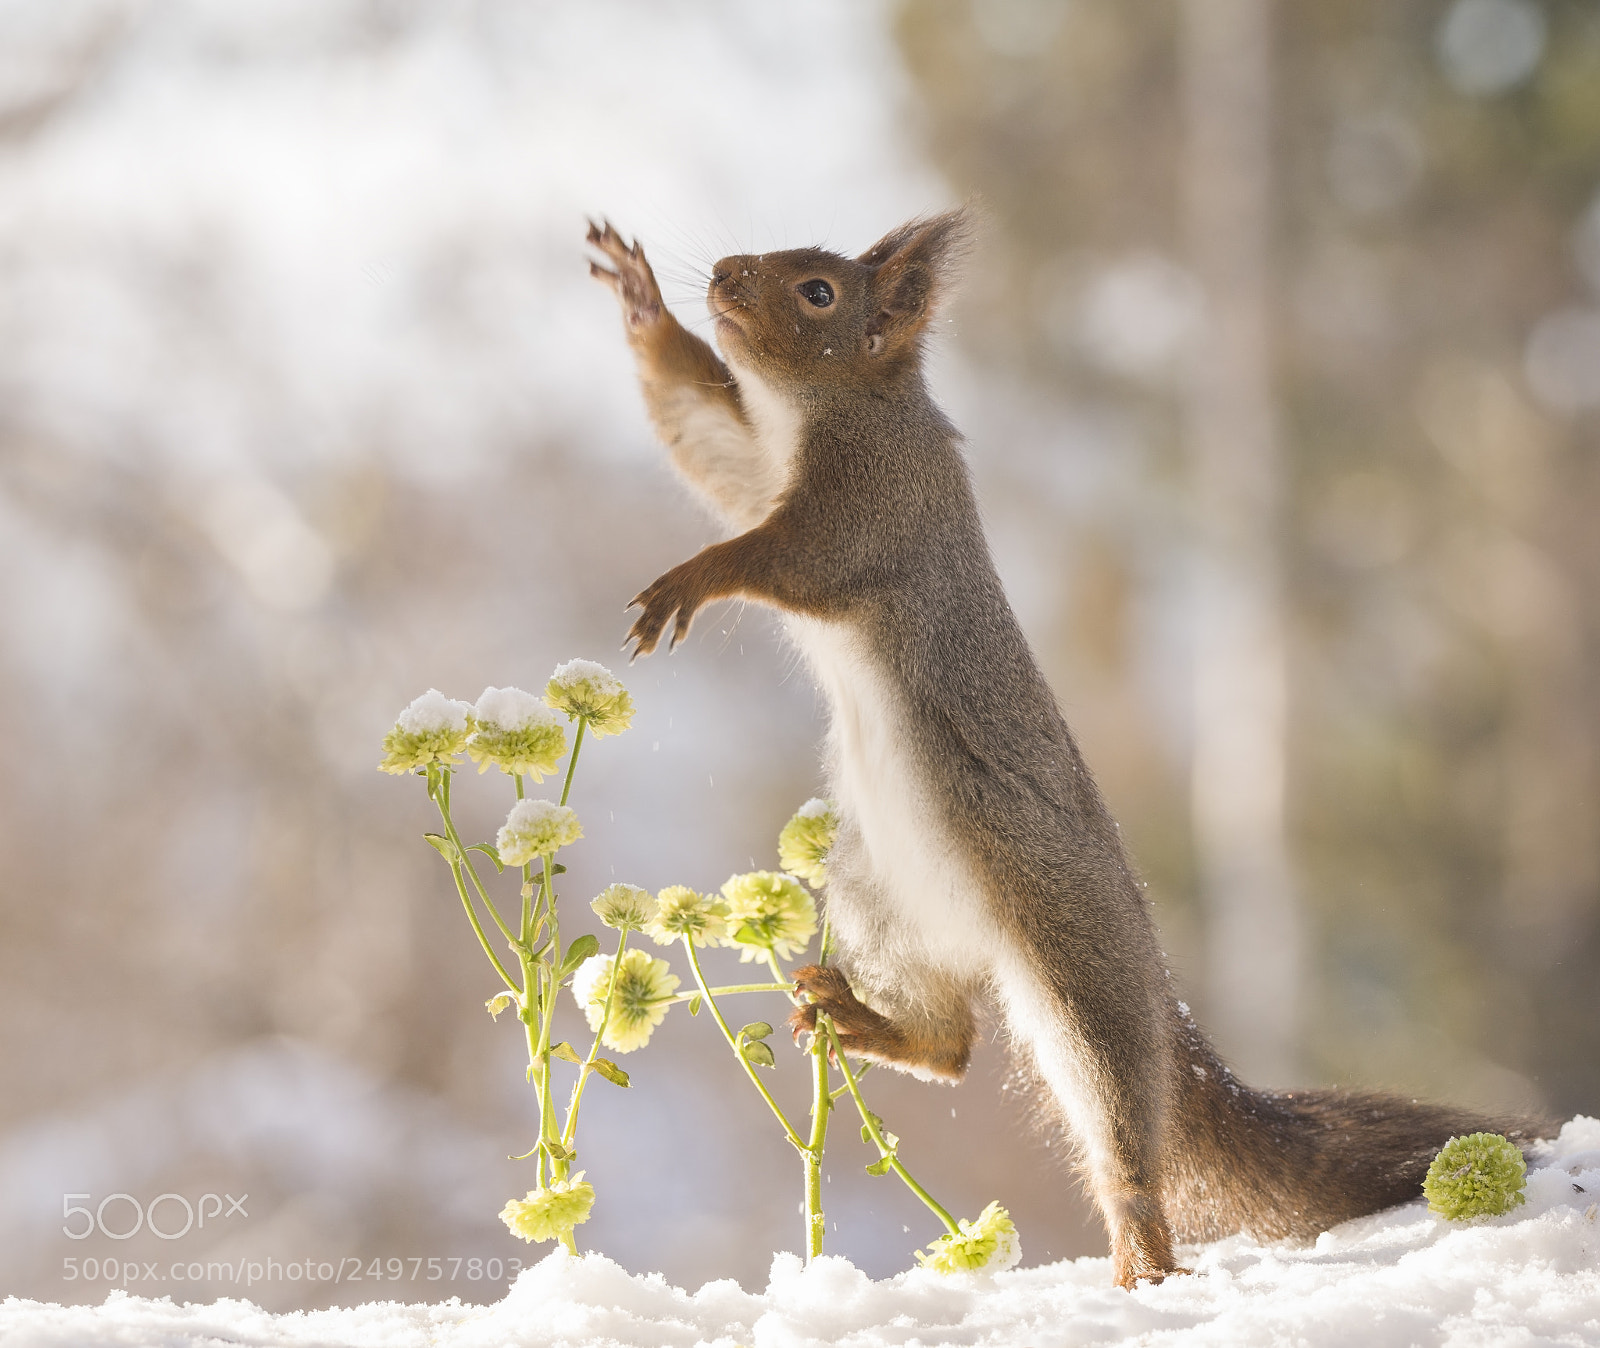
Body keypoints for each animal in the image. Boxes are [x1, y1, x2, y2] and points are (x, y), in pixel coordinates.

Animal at [586, 210, 1549, 1288]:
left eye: (818, 293)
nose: (721, 273)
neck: (829, 407)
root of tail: (1159, 995)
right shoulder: (755, 464)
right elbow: (703, 440)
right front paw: (642, 304)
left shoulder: (868, 504)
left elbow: (782, 555)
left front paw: (691, 580)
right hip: (879, 902)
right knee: (953, 1043)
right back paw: (871, 1021)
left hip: (1078, 980)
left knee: (1115, 1132)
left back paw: (1141, 1264)